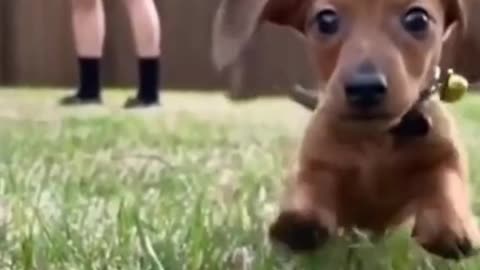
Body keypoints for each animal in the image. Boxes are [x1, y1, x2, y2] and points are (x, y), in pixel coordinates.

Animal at [213, 0, 480, 260]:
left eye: (418, 19)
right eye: (326, 20)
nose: (365, 87)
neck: (376, 140)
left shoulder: (444, 155)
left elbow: (447, 181)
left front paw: (451, 224)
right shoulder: (316, 162)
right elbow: (310, 185)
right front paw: (300, 221)